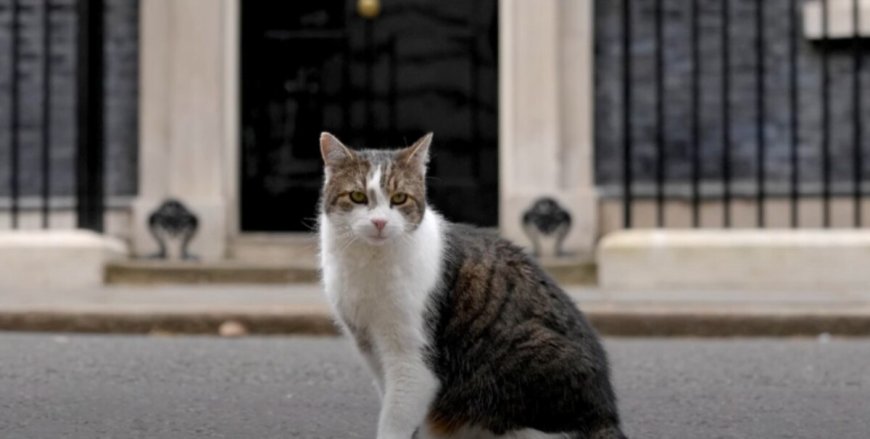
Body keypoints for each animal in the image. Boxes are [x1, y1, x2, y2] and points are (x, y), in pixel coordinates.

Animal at [320, 133, 628, 439]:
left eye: (399, 198)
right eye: (357, 196)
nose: (380, 222)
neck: (368, 262)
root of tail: (606, 417)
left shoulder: (412, 361)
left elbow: (395, 420)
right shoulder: (371, 349)